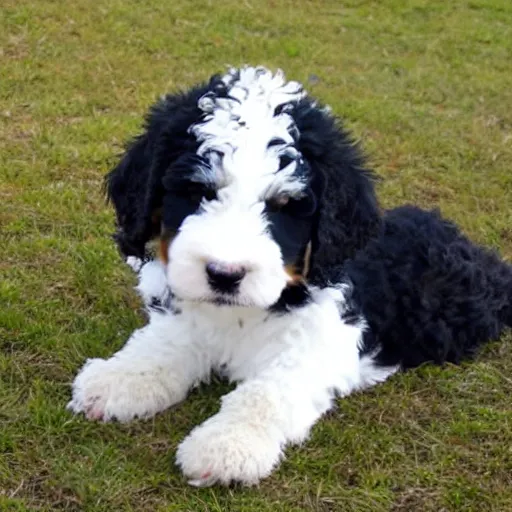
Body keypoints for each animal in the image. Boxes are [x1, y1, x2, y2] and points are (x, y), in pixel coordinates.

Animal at [68, 66, 512, 486]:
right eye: (197, 192)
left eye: (284, 206)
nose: (224, 275)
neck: (239, 313)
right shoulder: (189, 312)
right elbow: (162, 345)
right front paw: (118, 379)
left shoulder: (324, 339)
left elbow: (268, 391)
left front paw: (227, 445)